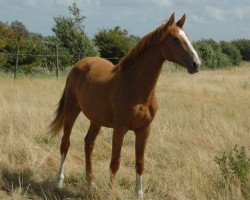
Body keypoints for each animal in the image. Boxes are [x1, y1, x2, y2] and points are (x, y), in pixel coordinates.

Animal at [48, 13, 201, 198]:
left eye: (187, 37)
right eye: (175, 39)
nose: (196, 64)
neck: (136, 88)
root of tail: (78, 64)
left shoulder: (144, 129)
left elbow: (140, 162)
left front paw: (139, 194)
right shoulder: (120, 128)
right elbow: (115, 161)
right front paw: (110, 192)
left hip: (96, 119)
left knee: (88, 144)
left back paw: (91, 184)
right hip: (72, 110)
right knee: (65, 143)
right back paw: (59, 182)